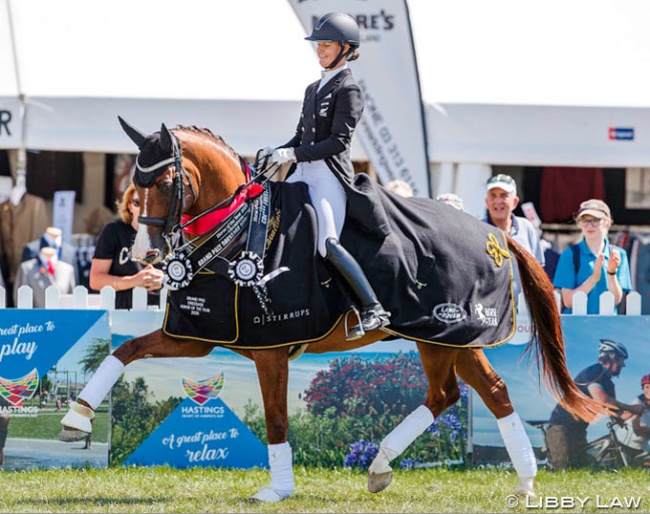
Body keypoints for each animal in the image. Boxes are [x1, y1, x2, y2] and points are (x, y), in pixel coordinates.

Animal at [58, 120, 604, 500]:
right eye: (133, 183)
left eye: (169, 181)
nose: (144, 253)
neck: (241, 230)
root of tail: (497, 235)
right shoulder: (200, 336)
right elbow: (126, 350)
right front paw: (77, 418)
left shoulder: (270, 346)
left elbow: (277, 419)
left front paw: (276, 490)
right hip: (444, 337)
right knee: (468, 393)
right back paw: (401, 469)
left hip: (448, 332)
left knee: (472, 393)